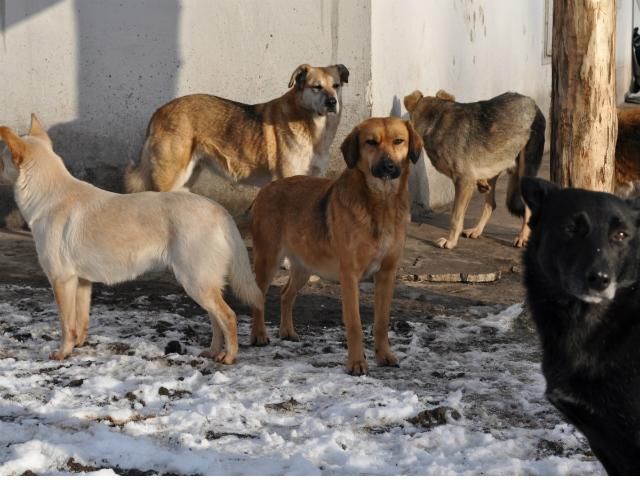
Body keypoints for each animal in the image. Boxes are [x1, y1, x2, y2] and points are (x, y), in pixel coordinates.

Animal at [0, 115, 262, 364]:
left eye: (1, 158)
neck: (50, 195)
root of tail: (219, 210)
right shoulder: (82, 282)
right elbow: (80, 322)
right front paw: (78, 347)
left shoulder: (61, 280)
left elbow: (66, 325)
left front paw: (63, 353)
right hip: (203, 284)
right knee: (216, 319)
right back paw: (213, 352)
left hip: (195, 282)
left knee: (228, 317)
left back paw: (229, 357)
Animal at [122, 63, 348, 193]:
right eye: (316, 87)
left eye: (336, 85)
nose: (332, 102)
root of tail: (159, 111)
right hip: (169, 178)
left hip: (185, 180)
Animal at [248, 116, 422, 376]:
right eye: (371, 142)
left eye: (399, 141)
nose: (388, 166)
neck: (381, 203)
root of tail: (267, 188)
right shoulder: (349, 275)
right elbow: (354, 323)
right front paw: (356, 363)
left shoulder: (386, 274)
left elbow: (381, 322)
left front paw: (384, 356)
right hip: (268, 259)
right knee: (259, 296)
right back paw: (259, 335)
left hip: (305, 266)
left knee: (285, 293)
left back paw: (287, 331)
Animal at [402, 88, 544, 251]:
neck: (434, 121)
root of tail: (533, 103)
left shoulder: (463, 182)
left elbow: (455, 217)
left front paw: (451, 242)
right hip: (494, 164)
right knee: (491, 204)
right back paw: (477, 229)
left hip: (525, 172)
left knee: (528, 207)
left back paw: (522, 237)